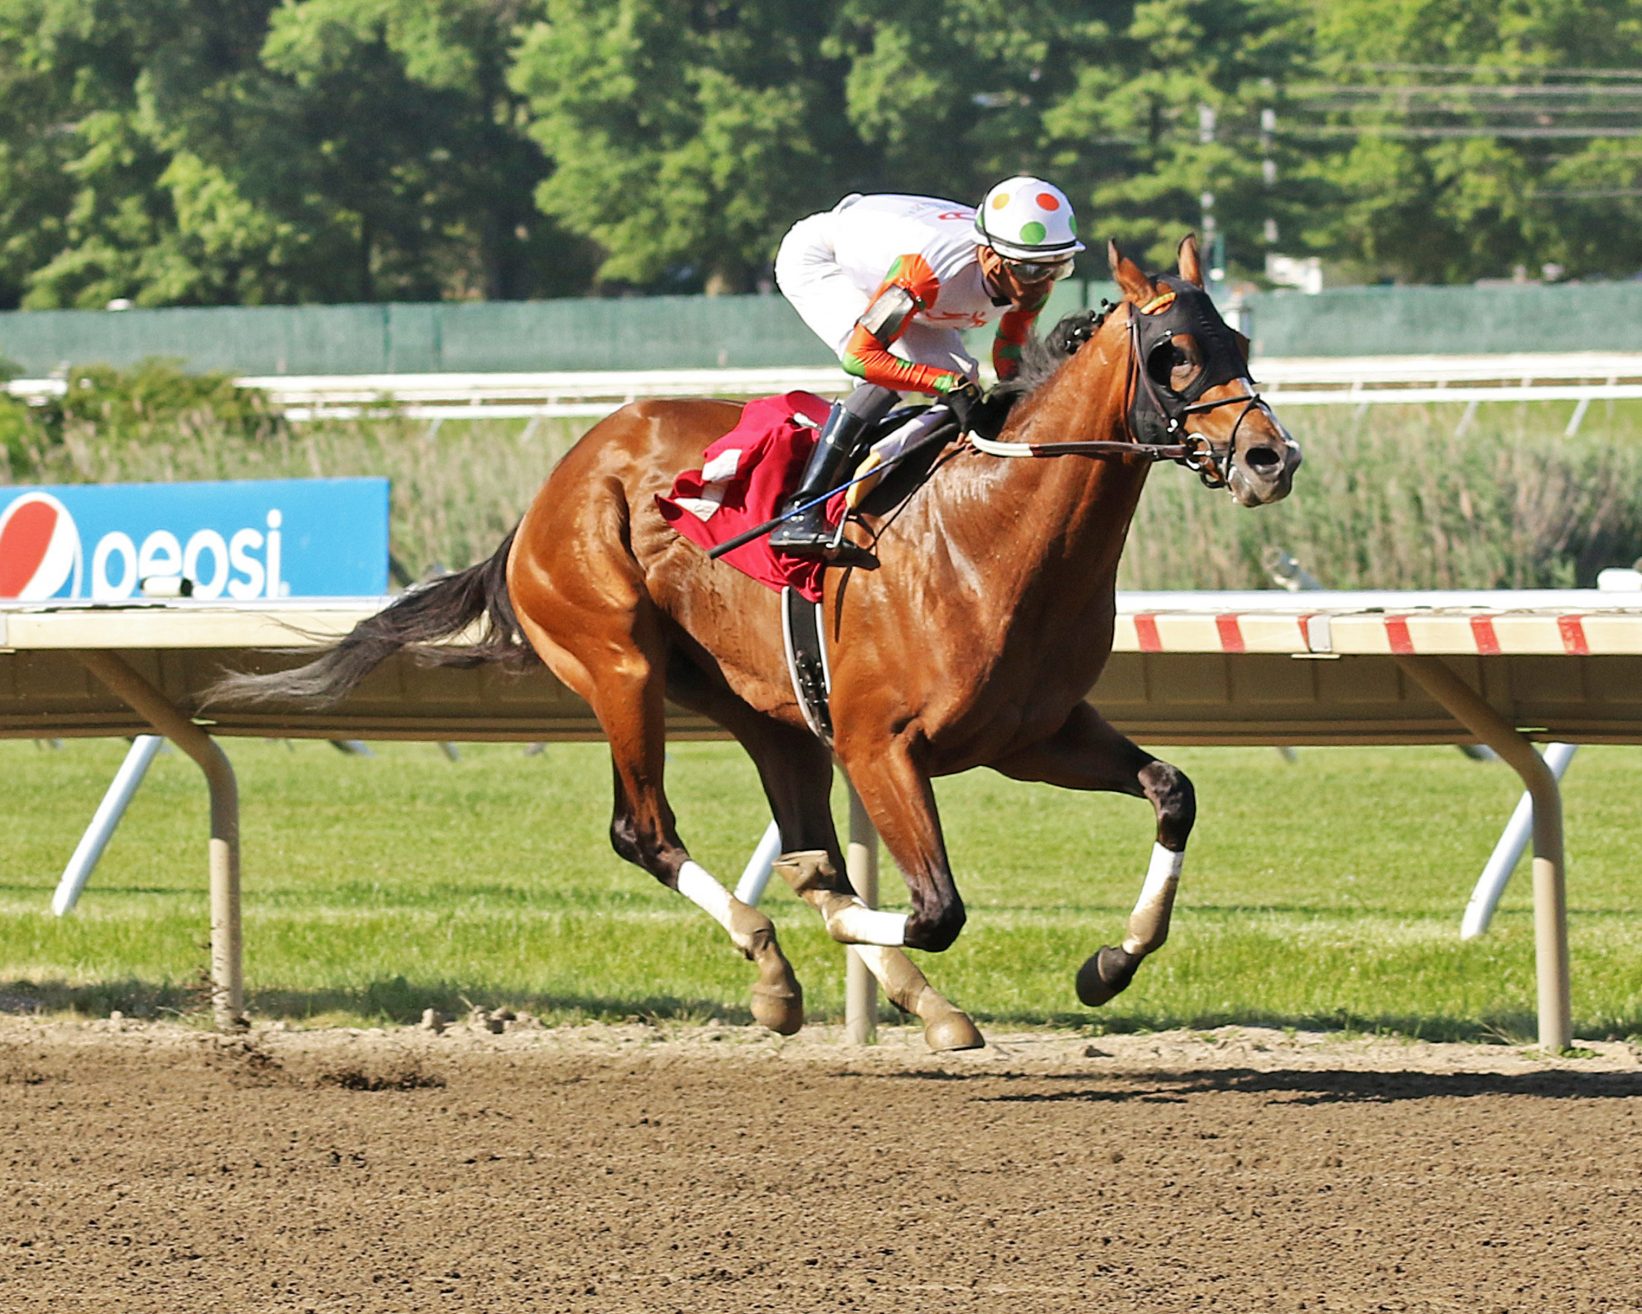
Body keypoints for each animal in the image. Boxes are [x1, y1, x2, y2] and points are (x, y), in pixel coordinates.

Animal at [221, 241, 1293, 1051]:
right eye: (1173, 354)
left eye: (1241, 339)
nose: (1270, 457)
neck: (989, 530)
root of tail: (550, 488)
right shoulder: (879, 745)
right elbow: (933, 907)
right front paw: (856, 931)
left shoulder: (1032, 735)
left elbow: (1172, 792)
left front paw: (1109, 964)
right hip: (619, 664)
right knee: (646, 831)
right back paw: (775, 959)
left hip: (766, 710)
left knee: (802, 838)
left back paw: (880, 992)